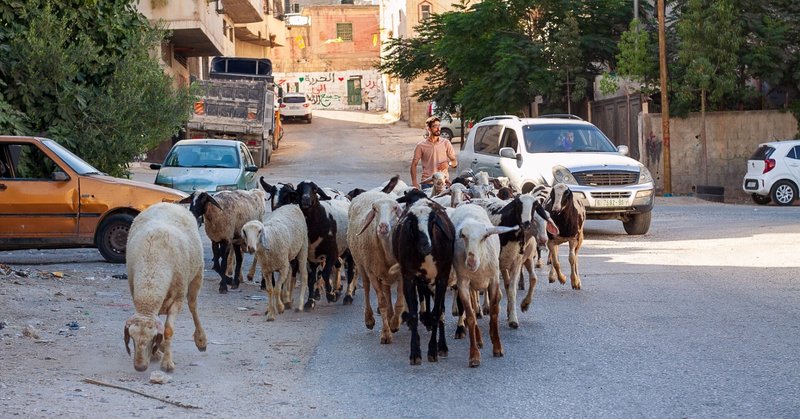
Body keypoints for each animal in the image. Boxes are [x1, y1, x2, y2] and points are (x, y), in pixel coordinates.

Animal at [123, 203, 206, 374]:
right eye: (132, 338)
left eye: (152, 337)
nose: (140, 367)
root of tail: (169, 203)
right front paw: (157, 352)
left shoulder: (178, 299)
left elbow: (168, 330)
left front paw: (167, 363)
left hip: (198, 273)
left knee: (193, 306)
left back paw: (201, 340)